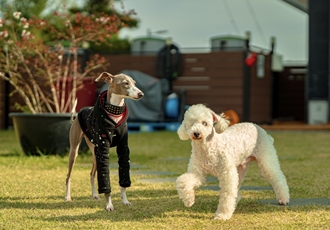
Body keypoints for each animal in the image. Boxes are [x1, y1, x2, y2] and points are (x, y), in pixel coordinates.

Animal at [66, 71, 144, 210]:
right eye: (125, 83)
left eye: (134, 83)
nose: (141, 94)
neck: (115, 114)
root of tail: (78, 113)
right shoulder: (103, 151)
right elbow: (105, 180)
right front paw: (109, 205)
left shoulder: (123, 149)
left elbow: (123, 178)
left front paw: (125, 201)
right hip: (74, 152)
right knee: (68, 176)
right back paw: (68, 197)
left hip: (94, 153)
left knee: (92, 174)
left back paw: (94, 195)